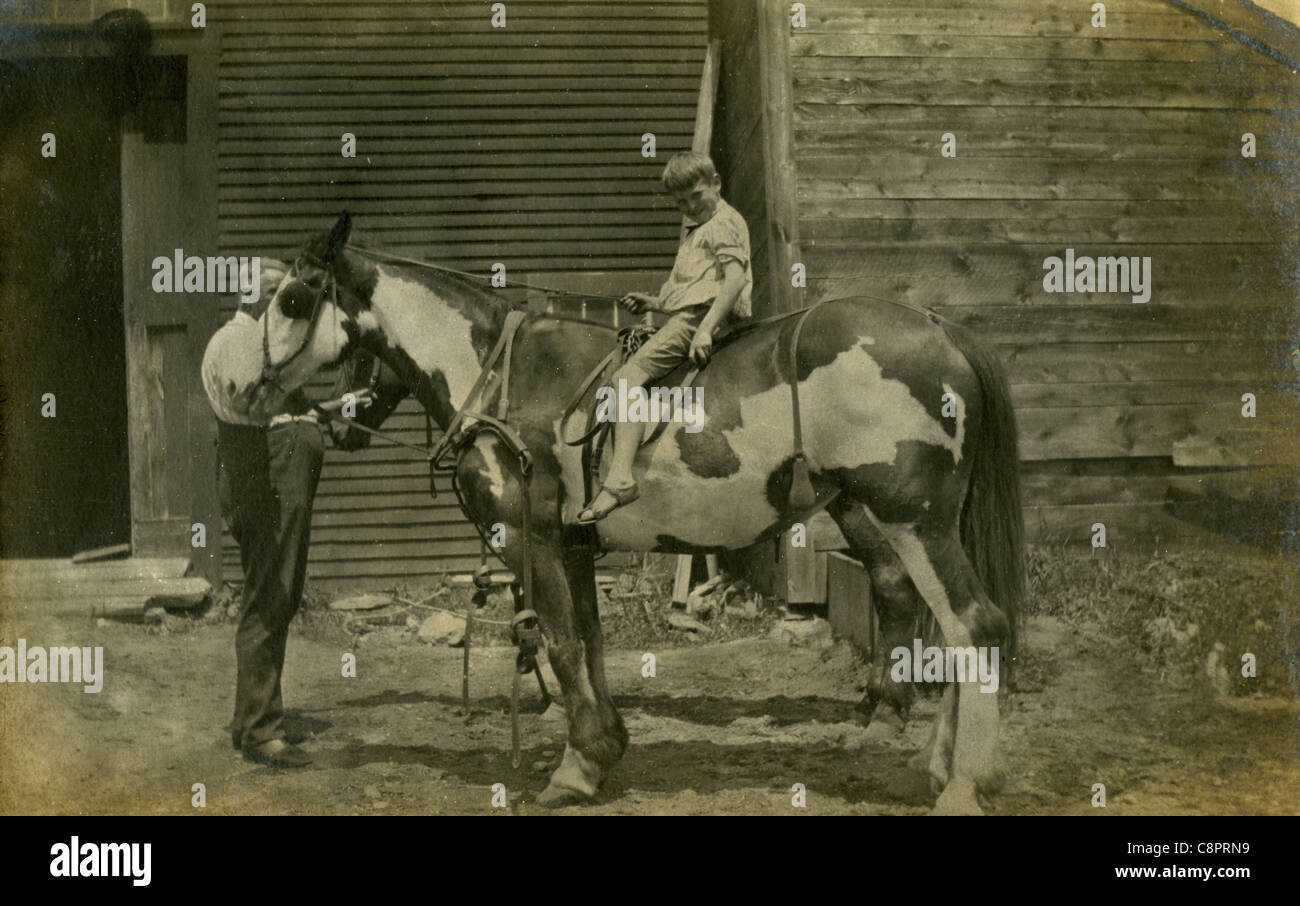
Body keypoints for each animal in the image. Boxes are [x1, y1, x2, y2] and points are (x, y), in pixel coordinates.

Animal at [261, 215, 1024, 816]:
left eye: (293, 298)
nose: (328, 417)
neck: (512, 379)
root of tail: (941, 330)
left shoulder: (533, 541)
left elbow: (561, 645)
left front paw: (575, 767)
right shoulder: (574, 546)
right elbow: (591, 644)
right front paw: (605, 749)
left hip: (913, 521)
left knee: (973, 625)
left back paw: (961, 783)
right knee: (949, 627)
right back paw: (932, 765)